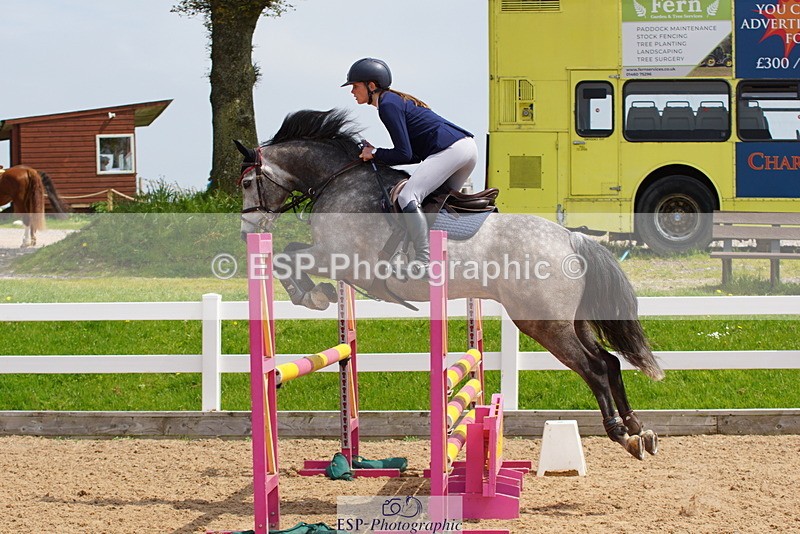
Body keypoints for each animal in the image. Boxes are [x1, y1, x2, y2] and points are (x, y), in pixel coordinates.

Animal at [238, 109, 664, 460]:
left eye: (244, 184)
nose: (246, 231)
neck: (338, 180)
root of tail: (571, 238)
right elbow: (289, 254)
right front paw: (316, 292)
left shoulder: (339, 257)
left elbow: (287, 256)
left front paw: (310, 294)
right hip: (569, 320)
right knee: (610, 361)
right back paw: (639, 429)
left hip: (542, 323)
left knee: (594, 368)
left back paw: (622, 435)